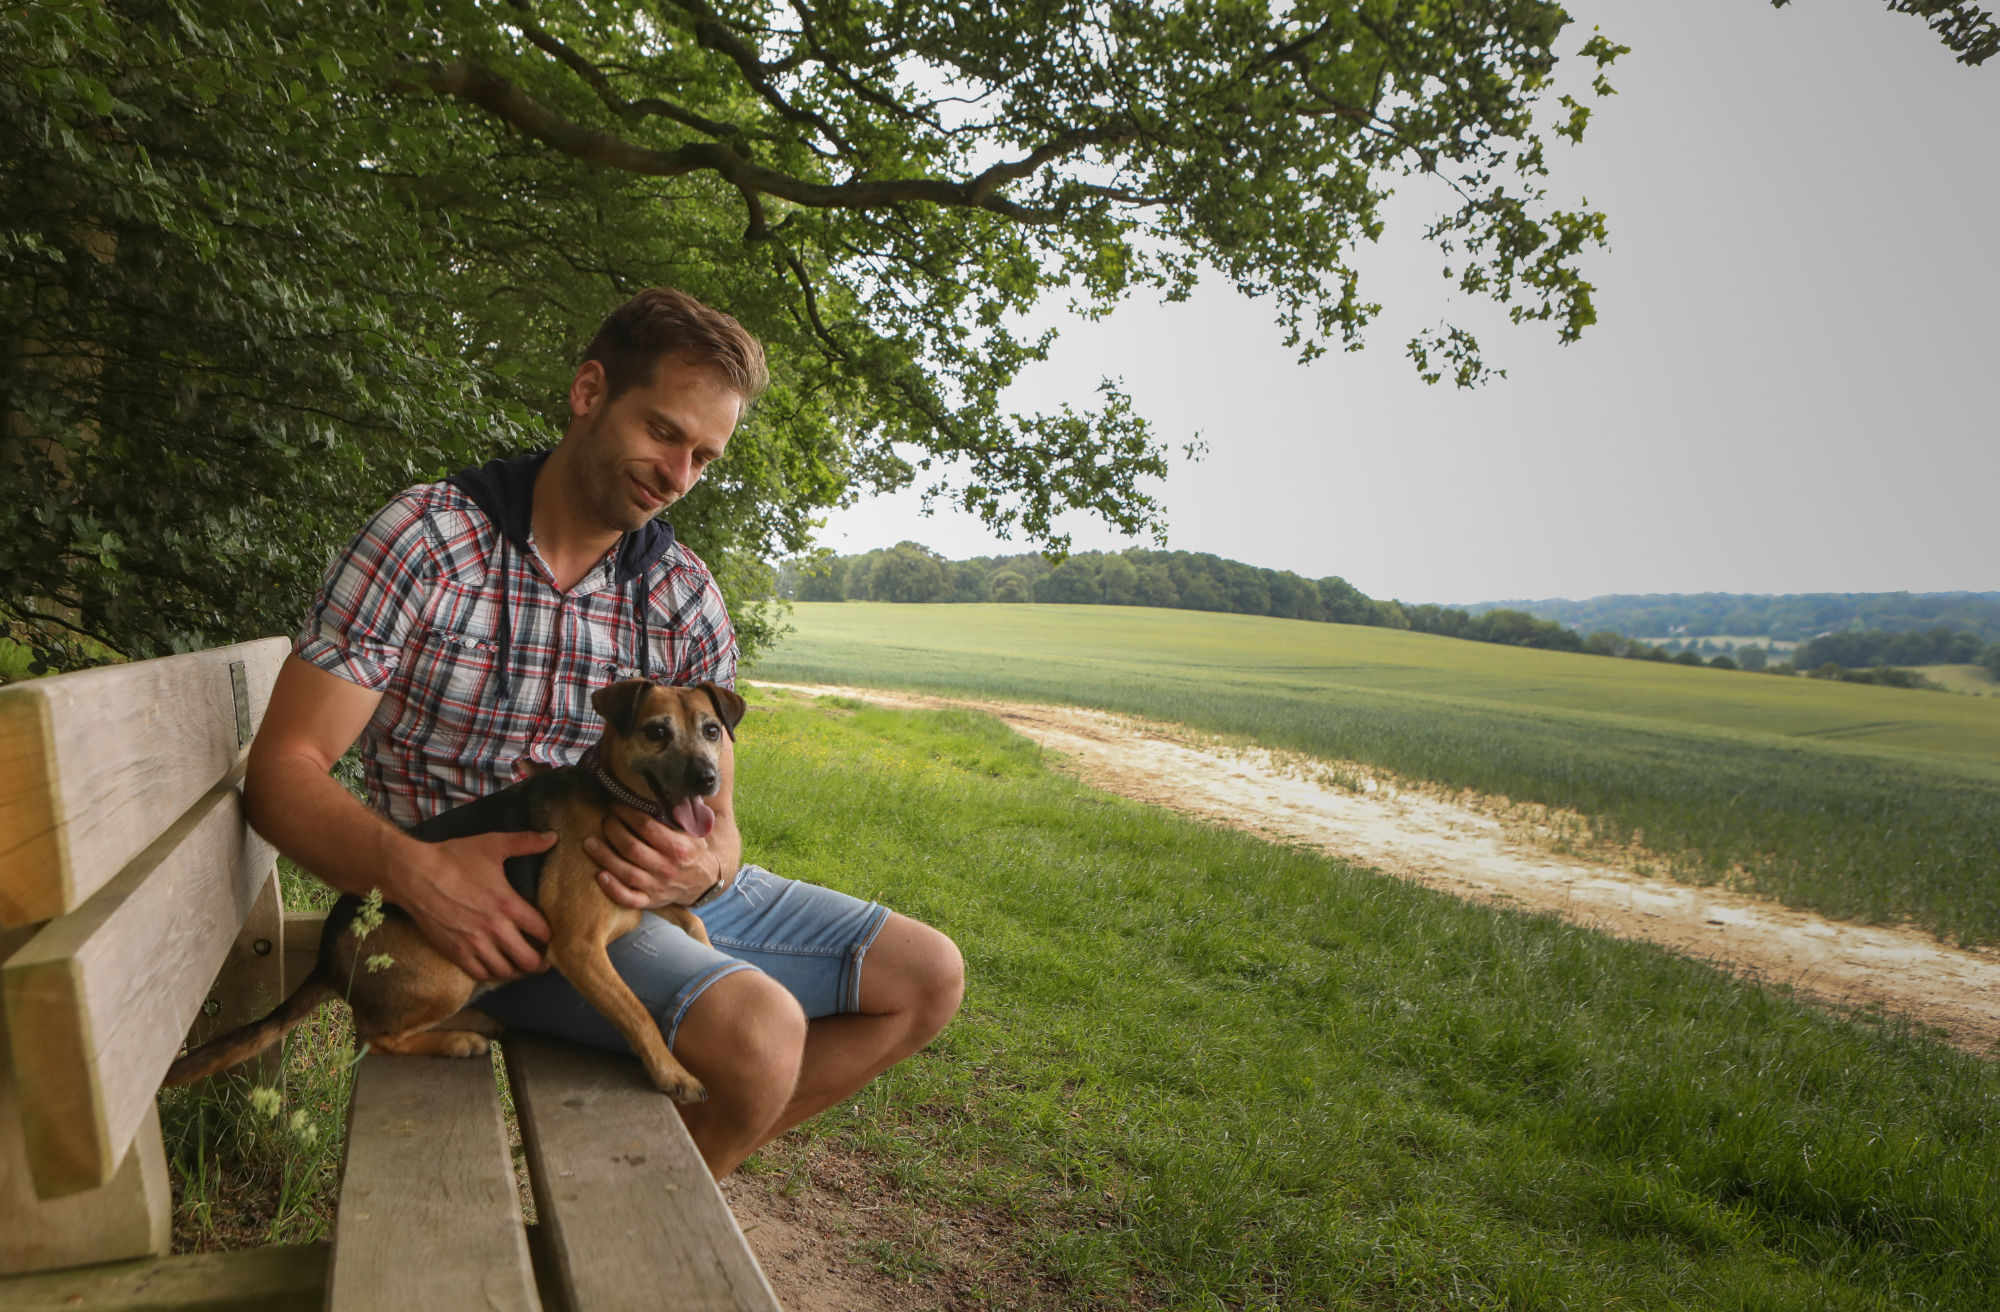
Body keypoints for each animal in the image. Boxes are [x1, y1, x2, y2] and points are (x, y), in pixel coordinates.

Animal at [168, 680, 752, 1104]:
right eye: (656, 732)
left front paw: (707, 943)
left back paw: (473, 1022)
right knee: (375, 1037)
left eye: (711, 731)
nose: (708, 780)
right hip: (450, 972)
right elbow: (636, 1012)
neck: (615, 800)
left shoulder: (644, 893)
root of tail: (327, 960)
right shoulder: (579, 947)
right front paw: (672, 1073)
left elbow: (692, 917)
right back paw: (456, 1040)